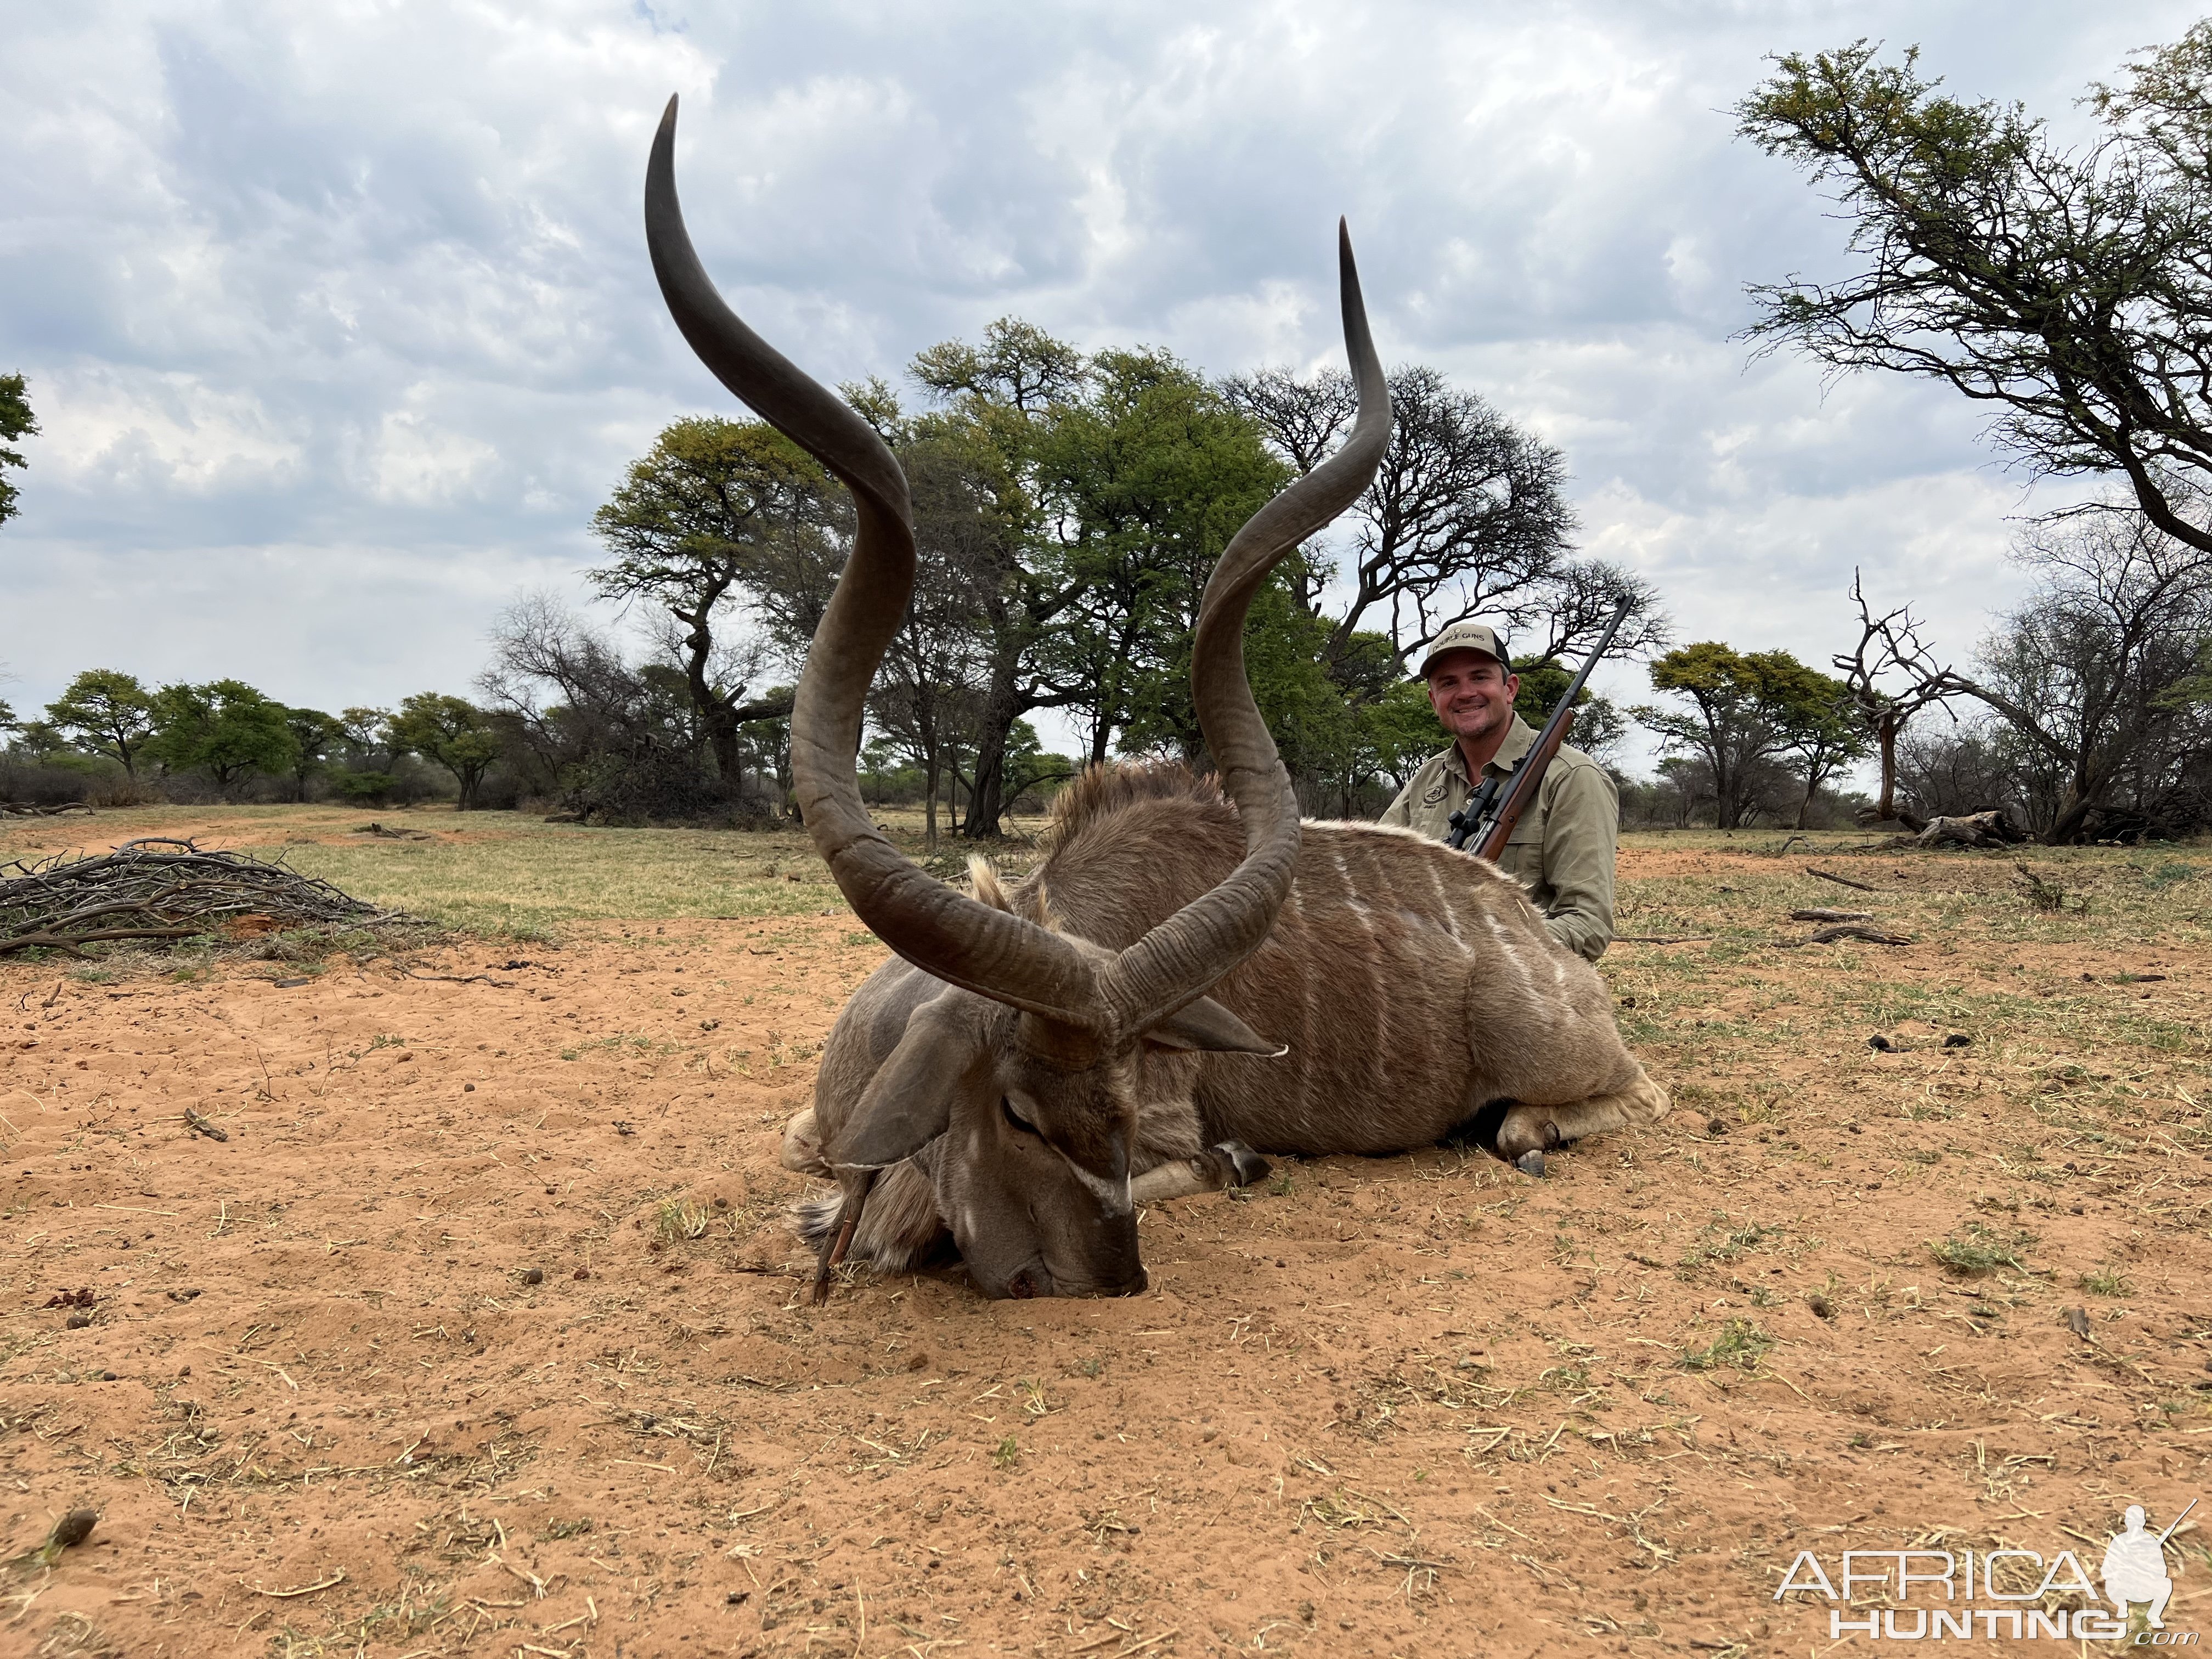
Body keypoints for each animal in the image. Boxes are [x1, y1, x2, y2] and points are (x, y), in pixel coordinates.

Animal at [646, 97, 1663, 1309]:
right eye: (1019, 1111)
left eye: (1129, 1105)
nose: (1109, 1275)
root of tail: (1537, 947)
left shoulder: (1173, 1143)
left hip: (1560, 1059)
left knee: (1616, 1098)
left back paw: (1523, 1129)